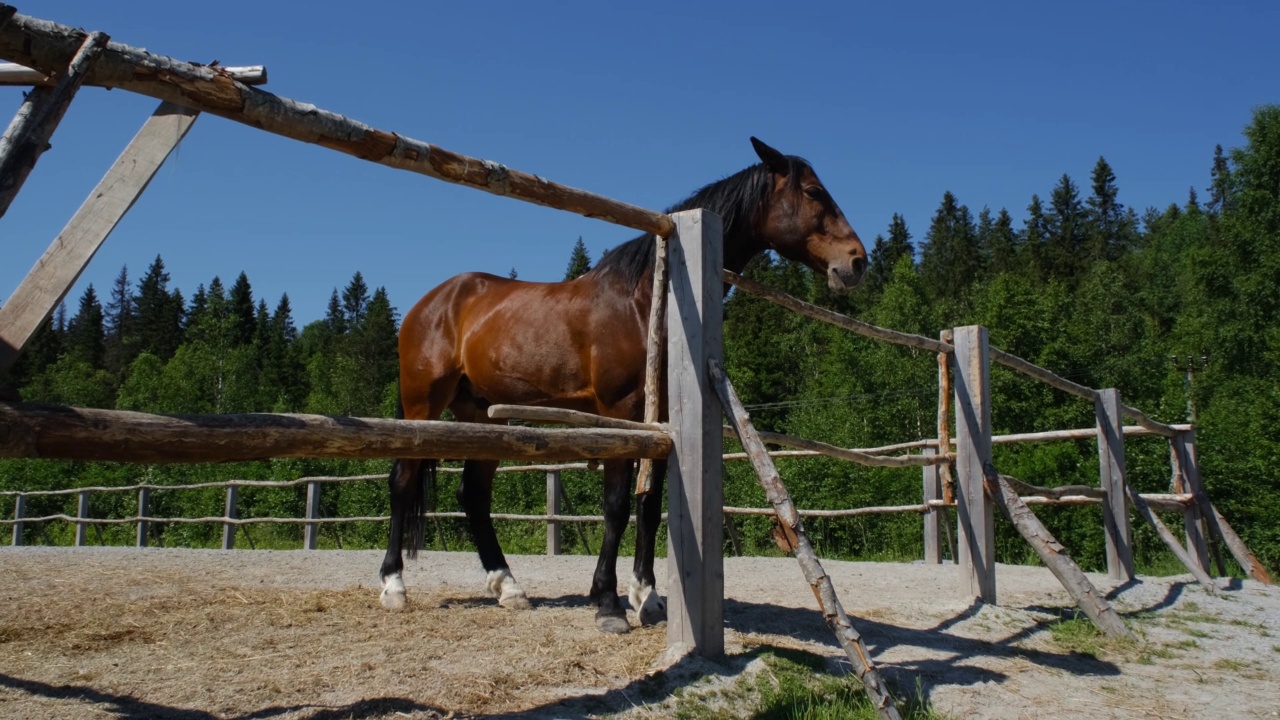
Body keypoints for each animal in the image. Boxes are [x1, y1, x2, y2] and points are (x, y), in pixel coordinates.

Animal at [373, 134, 865, 627]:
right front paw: (608, 602)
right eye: (814, 192)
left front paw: (647, 596)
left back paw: (508, 587)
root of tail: (431, 302)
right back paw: (394, 585)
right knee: (402, 482)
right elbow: (616, 505)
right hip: (423, 405)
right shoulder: (619, 413)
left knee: (473, 494)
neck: (647, 301)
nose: (856, 262)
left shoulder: (660, 421)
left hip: (483, 415)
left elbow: (649, 506)